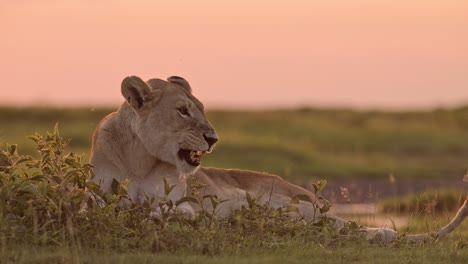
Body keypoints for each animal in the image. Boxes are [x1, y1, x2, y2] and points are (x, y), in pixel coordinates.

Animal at [88, 75, 468, 242]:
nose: (213, 138)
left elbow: (170, 210)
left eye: (202, 110)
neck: (141, 160)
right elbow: (106, 210)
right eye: (182, 111)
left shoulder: (181, 199)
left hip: (296, 204)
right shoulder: (98, 194)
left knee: (345, 227)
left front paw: (159, 216)